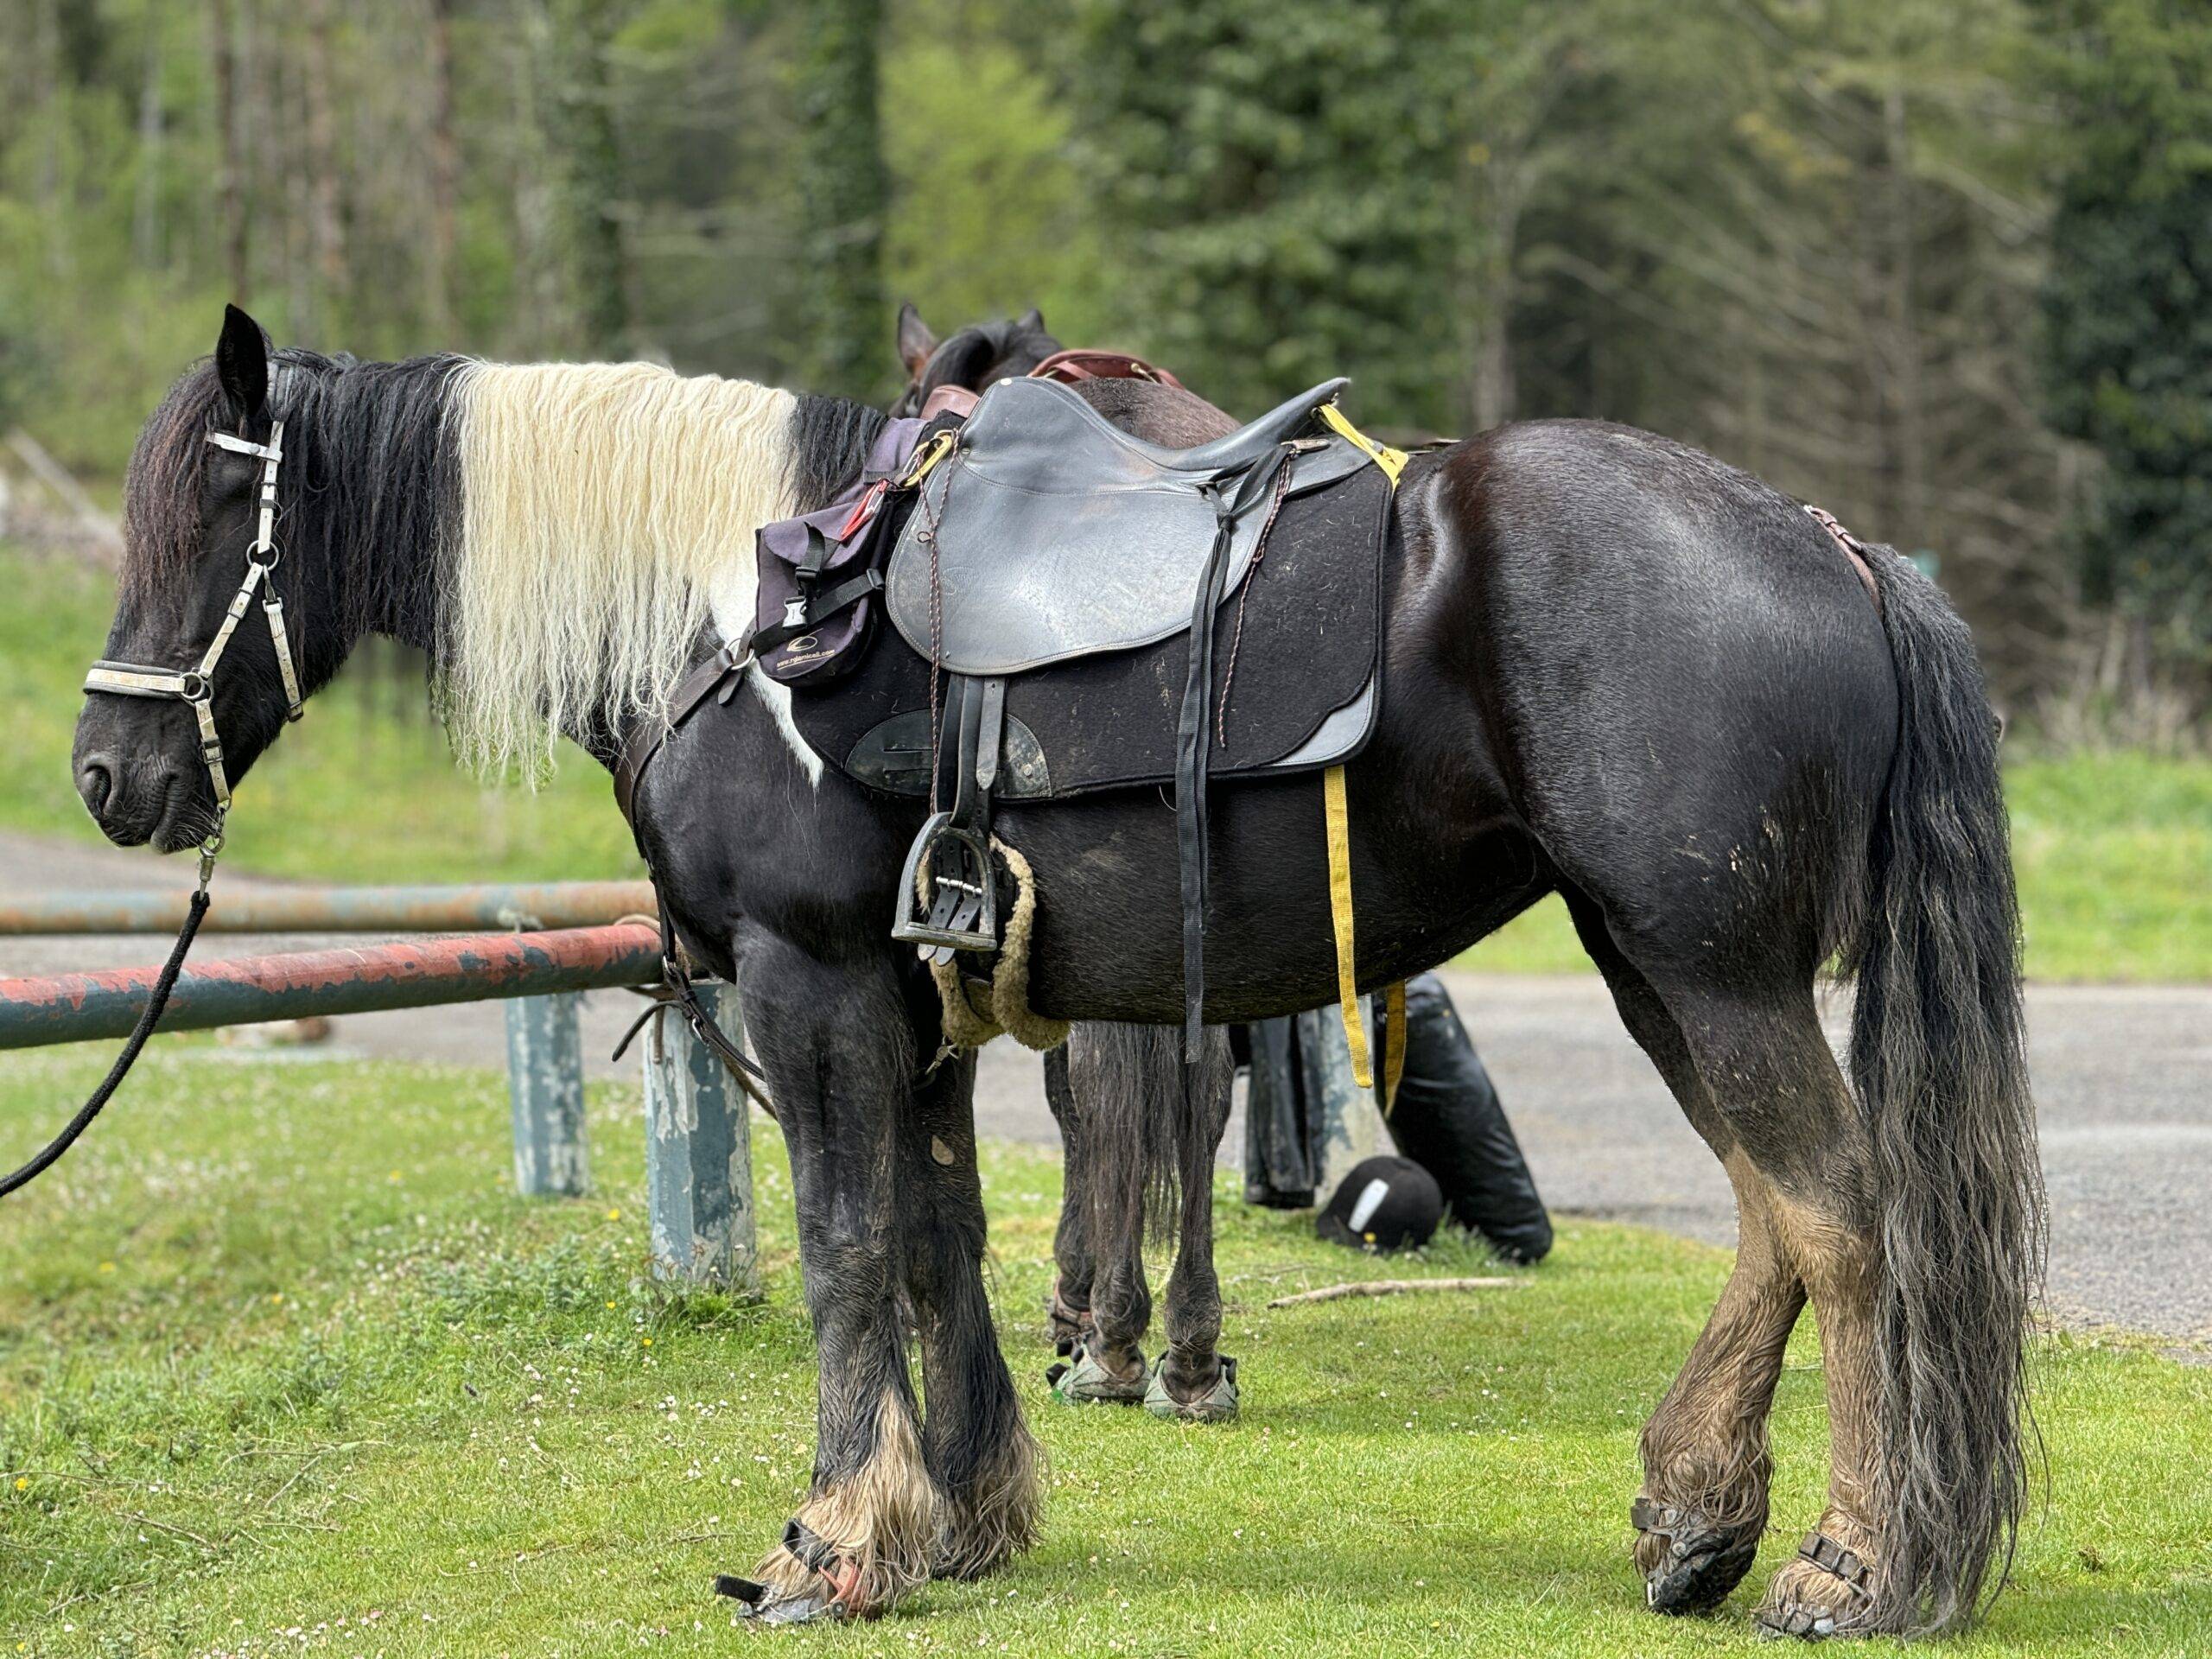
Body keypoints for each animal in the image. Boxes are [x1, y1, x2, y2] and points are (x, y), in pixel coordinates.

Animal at [73, 304, 2040, 1637]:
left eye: (207, 527)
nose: (107, 776)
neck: (740, 620)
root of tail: (1836, 547)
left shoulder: (811, 991)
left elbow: (846, 1247)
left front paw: (828, 1539)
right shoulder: (919, 1009)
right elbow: (939, 1239)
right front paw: (959, 1516)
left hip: (1710, 969)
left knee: (1841, 1217)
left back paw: (1851, 1560)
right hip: (1657, 960)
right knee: (1780, 1218)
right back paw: (1699, 1514)